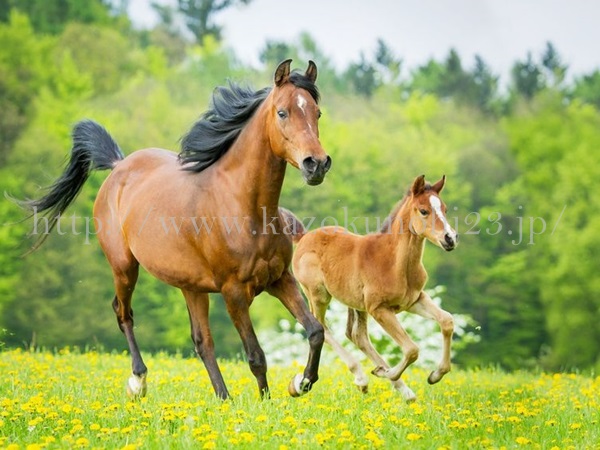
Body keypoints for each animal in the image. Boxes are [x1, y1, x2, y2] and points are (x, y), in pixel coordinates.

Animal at [18, 60, 330, 400]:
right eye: (282, 112)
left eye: (317, 112)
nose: (316, 164)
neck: (243, 207)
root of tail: (118, 166)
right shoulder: (234, 292)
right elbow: (256, 356)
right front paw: (266, 404)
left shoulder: (279, 279)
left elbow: (316, 331)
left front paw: (301, 382)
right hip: (124, 267)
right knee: (123, 313)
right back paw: (138, 382)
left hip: (191, 286)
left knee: (202, 341)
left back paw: (223, 399)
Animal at [288, 174, 458, 402]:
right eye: (423, 211)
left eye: (445, 209)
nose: (450, 238)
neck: (394, 263)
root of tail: (304, 236)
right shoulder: (379, 309)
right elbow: (412, 349)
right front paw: (387, 373)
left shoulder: (414, 300)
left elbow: (447, 321)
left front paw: (435, 375)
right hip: (318, 295)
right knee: (322, 327)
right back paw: (363, 378)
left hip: (356, 304)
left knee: (356, 335)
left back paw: (403, 390)